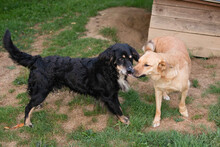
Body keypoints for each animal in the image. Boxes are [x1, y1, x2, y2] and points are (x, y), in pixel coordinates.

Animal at [2, 29, 138, 126]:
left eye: (131, 58)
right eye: (120, 59)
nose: (131, 70)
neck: (109, 70)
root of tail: (37, 59)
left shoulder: (113, 94)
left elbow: (118, 106)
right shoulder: (109, 96)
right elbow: (117, 109)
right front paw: (124, 120)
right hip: (42, 90)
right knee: (27, 107)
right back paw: (27, 123)